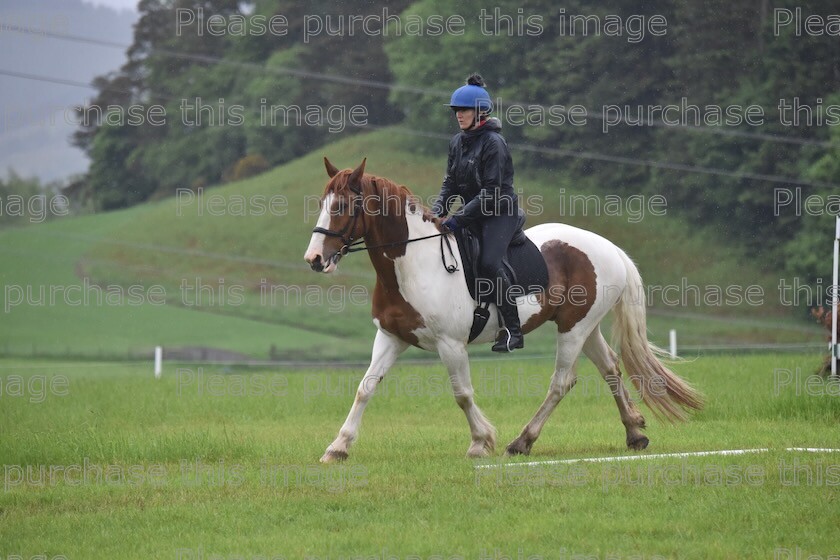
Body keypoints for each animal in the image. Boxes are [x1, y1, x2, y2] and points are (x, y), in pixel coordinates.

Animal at [302, 158, 704, 464]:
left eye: (341, 206)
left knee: (562, 382)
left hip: (573, 328)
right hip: (584, 326)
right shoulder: (390, 337)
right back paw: (634, 432)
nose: (315, 259)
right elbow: (365, 388)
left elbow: (462, 394)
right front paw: (338, 447)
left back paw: (522, 441)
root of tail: (609, 247)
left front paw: (481, 442)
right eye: (322, 203)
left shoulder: (450, 344)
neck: (413, 263)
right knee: (610, 368)